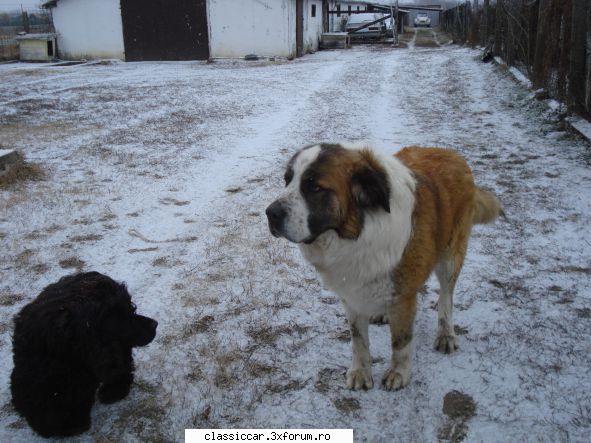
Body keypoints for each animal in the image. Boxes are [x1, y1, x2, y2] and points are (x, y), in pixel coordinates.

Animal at [268, 143, 504, 392]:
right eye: (287, 180)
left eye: (314, 187)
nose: (270, 213)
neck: (358, 233)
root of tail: (449, 152)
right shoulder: (351, 294)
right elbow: (358, 339)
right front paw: (361, 371)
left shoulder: (403, 296)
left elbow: (400, 340)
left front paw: (398, 373)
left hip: (450, 256)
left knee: (446, 298)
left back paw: (445, 334)